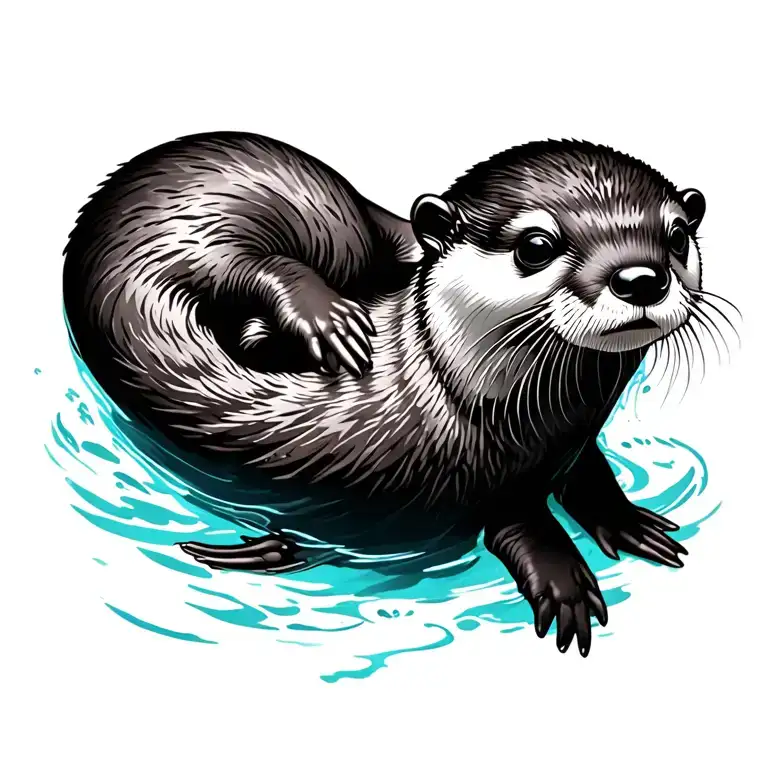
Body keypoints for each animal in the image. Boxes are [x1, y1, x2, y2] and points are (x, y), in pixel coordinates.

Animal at [63, 131, 710, 657]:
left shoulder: (566, 449)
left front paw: (626, 520)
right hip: (203, 227)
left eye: (677, 236)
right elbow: (520, 526)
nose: (641, 277)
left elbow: (589, 476)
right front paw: (564, 578)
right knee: (247, 265)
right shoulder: (489, 482)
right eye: (536, 245)